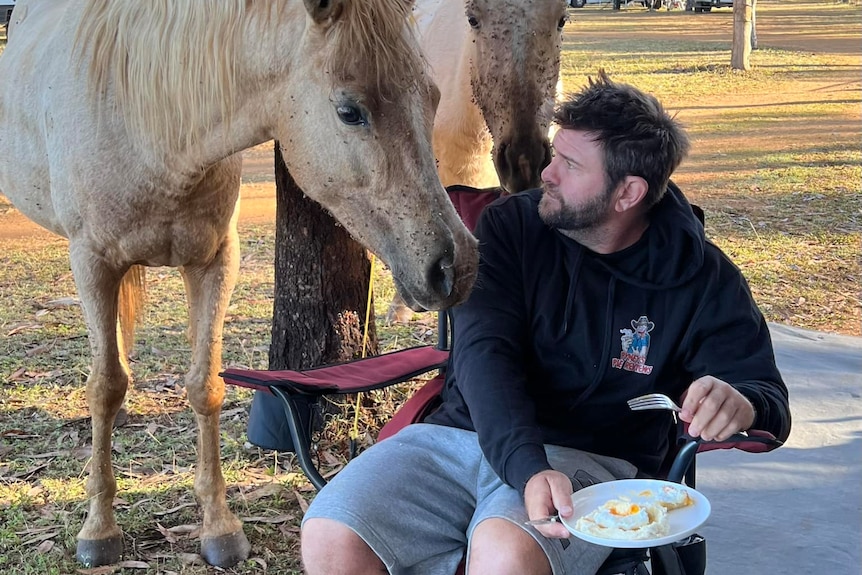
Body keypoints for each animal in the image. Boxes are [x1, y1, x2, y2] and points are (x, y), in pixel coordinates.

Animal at [0, 0, 480, 568]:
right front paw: (99, 529)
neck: (151, 125)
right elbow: (105, 388)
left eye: (432, 97)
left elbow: (204, 386)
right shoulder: (91, 262)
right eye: (349, 111)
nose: (454, 266)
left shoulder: (214, 263)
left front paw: (219, 526)